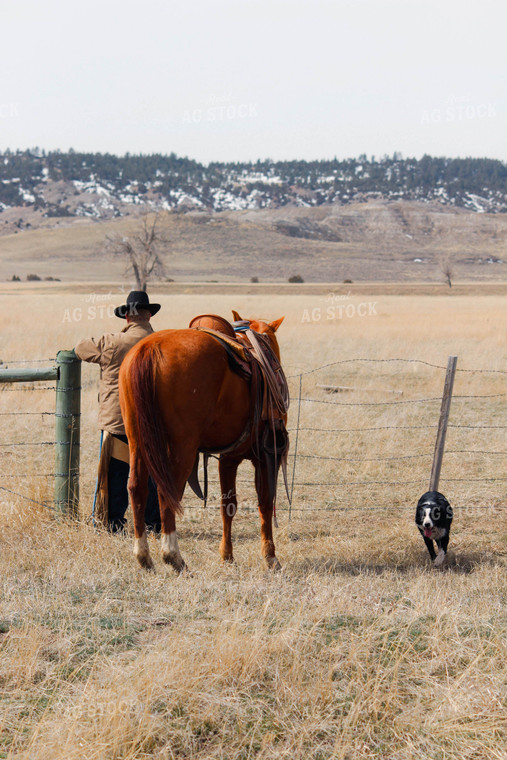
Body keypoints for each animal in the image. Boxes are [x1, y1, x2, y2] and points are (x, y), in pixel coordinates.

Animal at [117, 314, 288, 568]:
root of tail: (149, 348)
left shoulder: (229, 457)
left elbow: (228, 506)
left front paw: (227, 555)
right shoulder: (267, 454)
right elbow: (265, 502)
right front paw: (270, 557)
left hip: (137, 443)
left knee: (137, 488)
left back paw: (144, 556)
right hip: (182, 448)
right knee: (167, 494)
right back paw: (173, 556)